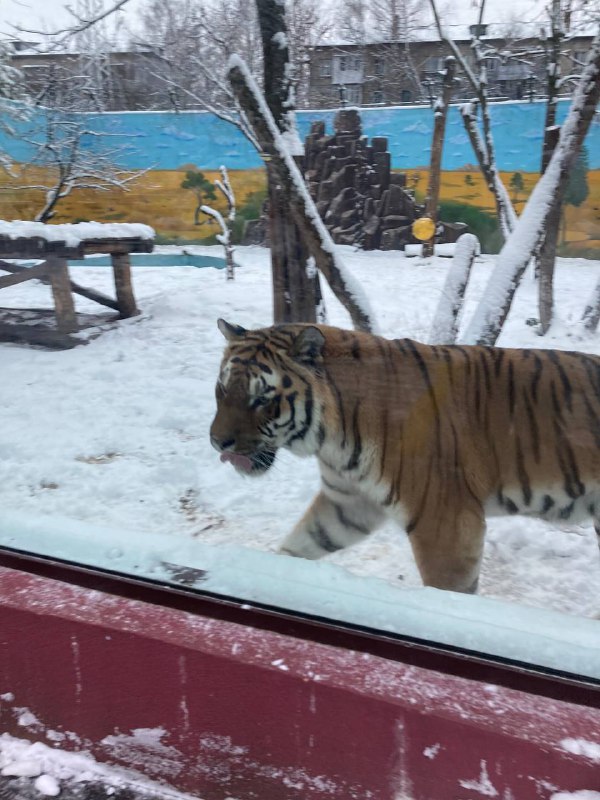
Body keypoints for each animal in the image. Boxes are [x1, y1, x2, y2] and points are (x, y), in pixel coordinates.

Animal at [209, 318, 596, 592]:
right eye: (223, 389)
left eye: (261, 398)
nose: (217, 443)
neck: (331, 438)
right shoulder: (348, 502)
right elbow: (302, 542)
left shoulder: (445, 524)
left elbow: (449, 592)